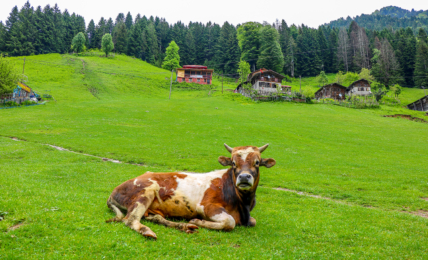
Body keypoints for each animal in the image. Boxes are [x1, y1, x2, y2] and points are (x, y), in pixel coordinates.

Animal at [105, 143, 276, 239]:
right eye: (233, 163)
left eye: (257, 162)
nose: (244, 177)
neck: (243, 204)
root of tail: (114, 191)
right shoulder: (206, 206)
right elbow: (230, 221)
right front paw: (197, 221)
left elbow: (252, 221)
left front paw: (193, 223)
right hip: (146, 191)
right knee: (131, 219)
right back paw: (149, 231)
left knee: (155, 218)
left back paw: (184, 226)